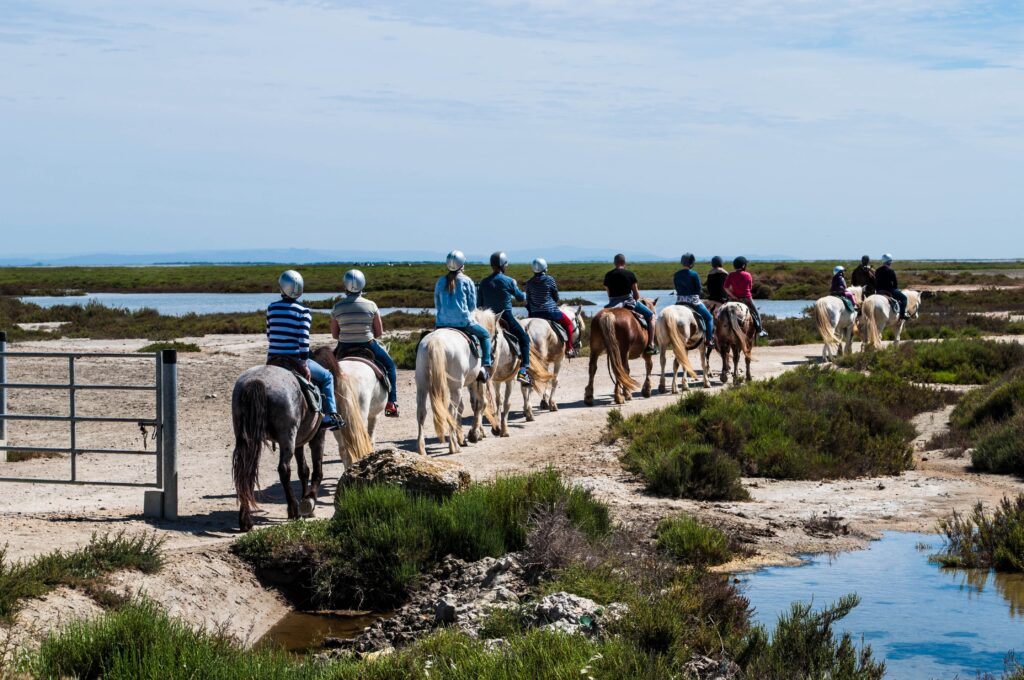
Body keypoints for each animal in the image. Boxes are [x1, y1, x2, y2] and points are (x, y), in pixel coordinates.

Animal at [232, 364, 327, 532]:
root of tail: (256, 381)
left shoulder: (300, 440)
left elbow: (303, 470)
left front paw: (306, 500)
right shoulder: (317, 435)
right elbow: (317, 470)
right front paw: (309, 502)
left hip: (246, 436)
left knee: (245, 471)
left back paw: (245, 520)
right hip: (287, 435)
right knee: (284, 469)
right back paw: (294, 510)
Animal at [413, 311, 497, 454]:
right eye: (496, 334)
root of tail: (434, 341)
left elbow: (466, 407)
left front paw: (463, 436)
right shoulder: (477, 381)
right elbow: (480, 403)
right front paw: (474, 434)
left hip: (422, 386)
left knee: (421, 412)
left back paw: (421, 448)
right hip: (455, 388)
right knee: (451, 411)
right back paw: (453, 447)